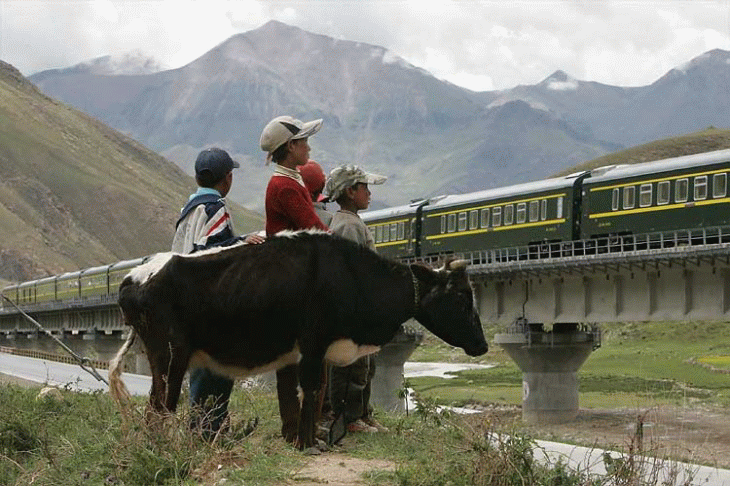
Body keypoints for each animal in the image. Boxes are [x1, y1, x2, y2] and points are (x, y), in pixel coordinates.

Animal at [108, 231, 486, 448]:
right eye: (461, 297)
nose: (482, 346)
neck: (352, 275)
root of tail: (134, 276)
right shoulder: (314, 345)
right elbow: (313, 393)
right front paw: (307, 444)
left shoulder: (303, 354)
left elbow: (302, 396)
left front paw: (301, 440)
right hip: (170, 356)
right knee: (160, 405)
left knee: (156, 405)